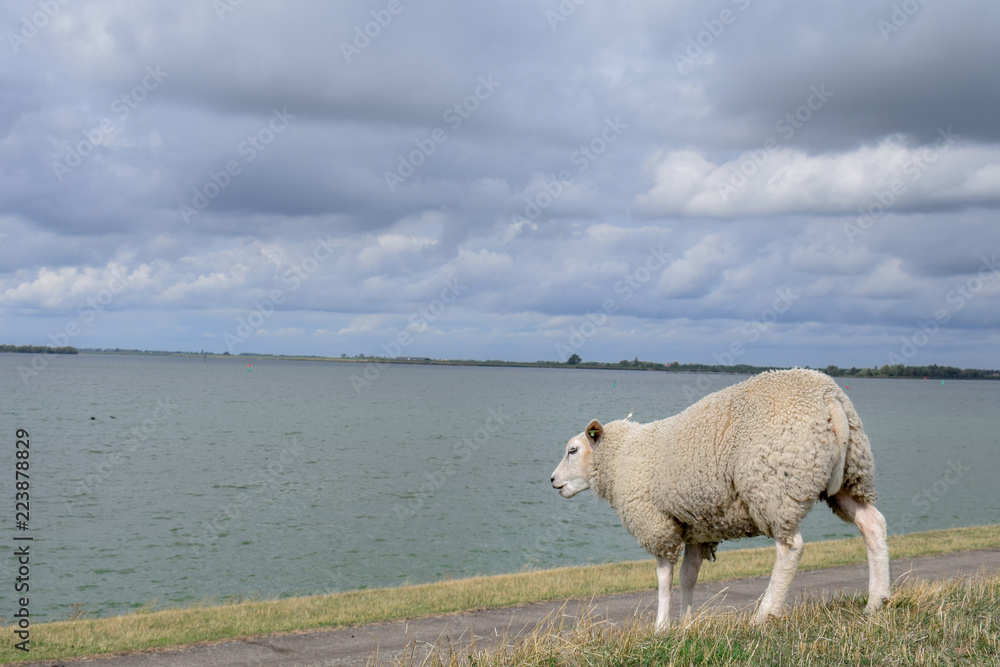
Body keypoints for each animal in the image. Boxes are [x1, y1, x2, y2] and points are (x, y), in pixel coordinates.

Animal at [550, 368, 890, 629]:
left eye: (572, 450)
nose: (553, 481)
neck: (621, 458)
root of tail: (829, 397)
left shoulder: (657, 524)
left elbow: (664, 578)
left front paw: (661, 627)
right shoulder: (696, 529)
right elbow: (688, 577)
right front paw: (686, 624)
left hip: (774, 486)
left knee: (791, 548)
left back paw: (765, 614)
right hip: (850, 475)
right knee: (872, 524)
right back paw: (876, 601)